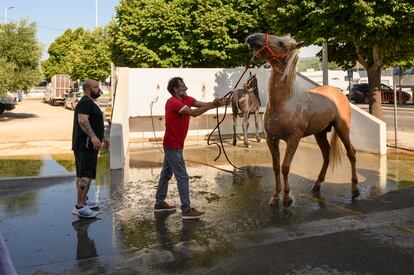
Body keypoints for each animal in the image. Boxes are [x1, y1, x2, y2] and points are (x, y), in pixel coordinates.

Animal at [246, 33, 360, 207]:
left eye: (281, 43)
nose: (252, 37)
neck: (285, 103)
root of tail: (339, 92)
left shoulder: (294, 139)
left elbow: (285, 167)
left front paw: (287, 198)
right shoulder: (272, 139)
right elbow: (276, 167)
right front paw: (275, 197)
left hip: (342, 128)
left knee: (351, 153)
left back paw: (354, 189)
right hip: (320, 133)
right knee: (326, 155)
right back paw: (317, 184)